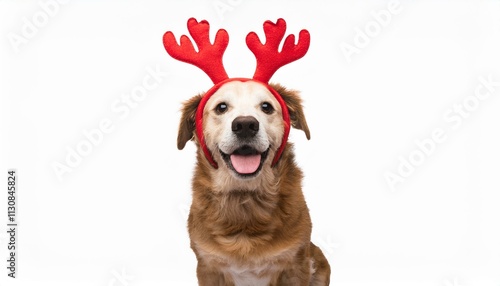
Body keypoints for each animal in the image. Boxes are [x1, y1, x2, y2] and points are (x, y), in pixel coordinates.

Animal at [178, 81, 330, 286]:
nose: (245, 125)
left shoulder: (296, 264)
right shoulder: (208, 267)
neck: (245, 202)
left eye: (266, 107)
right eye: (221, 107)